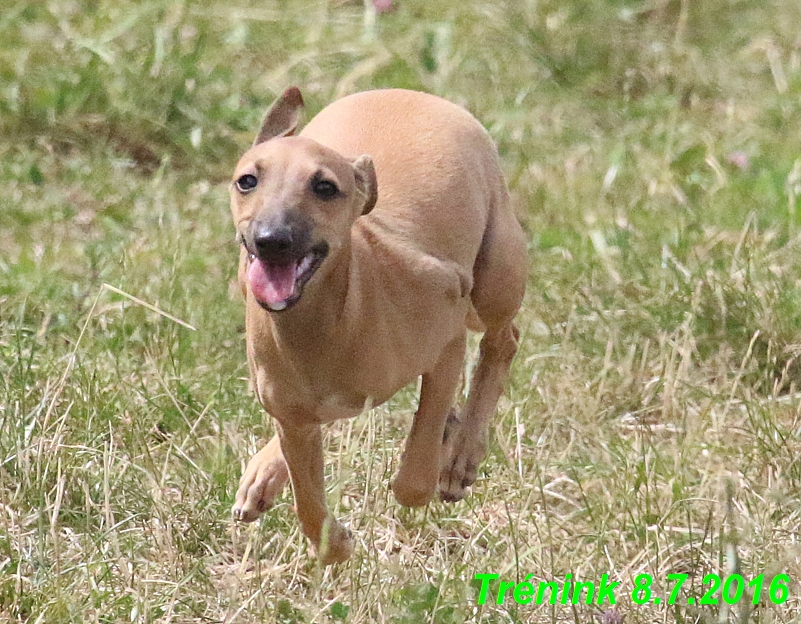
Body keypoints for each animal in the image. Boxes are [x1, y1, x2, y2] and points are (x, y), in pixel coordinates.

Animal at [228, 85, 528, 564]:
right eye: (247, 181)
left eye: (325, 187)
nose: (271, 240)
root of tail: (411, 92)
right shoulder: (294, 419)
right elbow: (308, 503)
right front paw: (335, 542)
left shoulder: (446, 338)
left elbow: (415, 480)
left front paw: (443, 452)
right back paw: (264, 474)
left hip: (495, 281)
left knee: (504, 340)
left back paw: (461, 454)